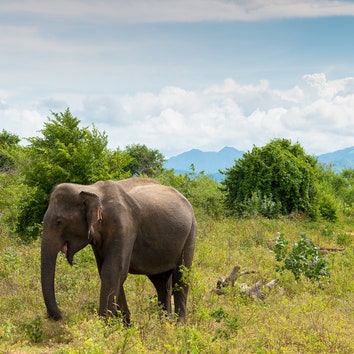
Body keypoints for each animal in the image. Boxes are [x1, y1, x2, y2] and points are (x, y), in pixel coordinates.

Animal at [40, 178, 199, 324]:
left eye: (59, 222)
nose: (60, 317)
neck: (89, 189)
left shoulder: (124, 227)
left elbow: (113, 270)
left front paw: (105, 325)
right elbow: (108, 271)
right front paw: (124, 325)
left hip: (190, 233)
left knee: (181, 277)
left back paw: (179, 325)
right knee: (161, 282)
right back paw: (164, 324)